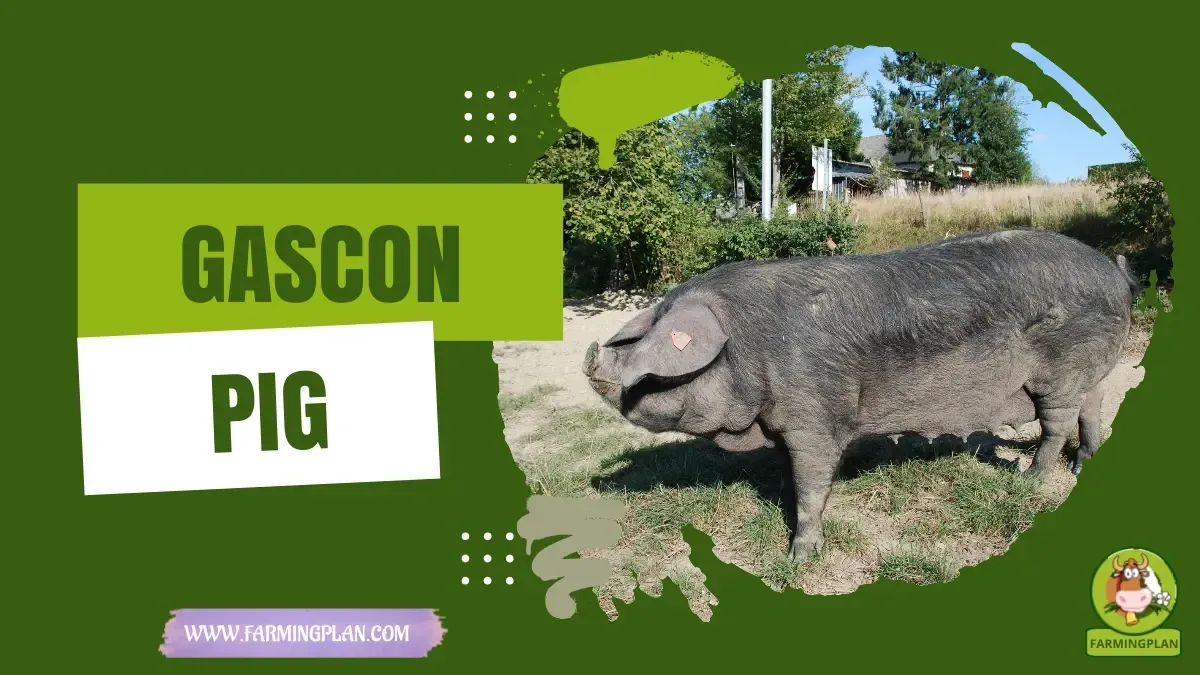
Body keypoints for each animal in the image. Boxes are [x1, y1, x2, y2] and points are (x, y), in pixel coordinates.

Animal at [582, 229, 1139, 561]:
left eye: (653, 374)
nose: (593, 361)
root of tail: (1114, 271)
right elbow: (789, 473)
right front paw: (782, 504)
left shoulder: (815, 414)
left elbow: (812, 482)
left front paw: (799, 557)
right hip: (1090, 369)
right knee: (1094, 407)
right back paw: (1082, 466)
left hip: (1059, 372)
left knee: (1057, 423)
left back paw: (1031, 480)